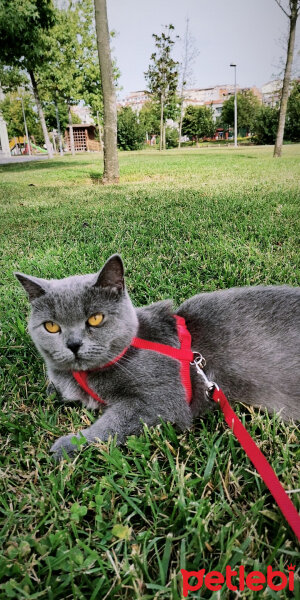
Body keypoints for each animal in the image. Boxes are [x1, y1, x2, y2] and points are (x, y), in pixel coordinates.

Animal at [15, 253, 298, 460]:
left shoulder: (161, 402)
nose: (73, 344)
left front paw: (67, 445)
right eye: (51, 326)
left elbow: (112, 425)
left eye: (95, 319)